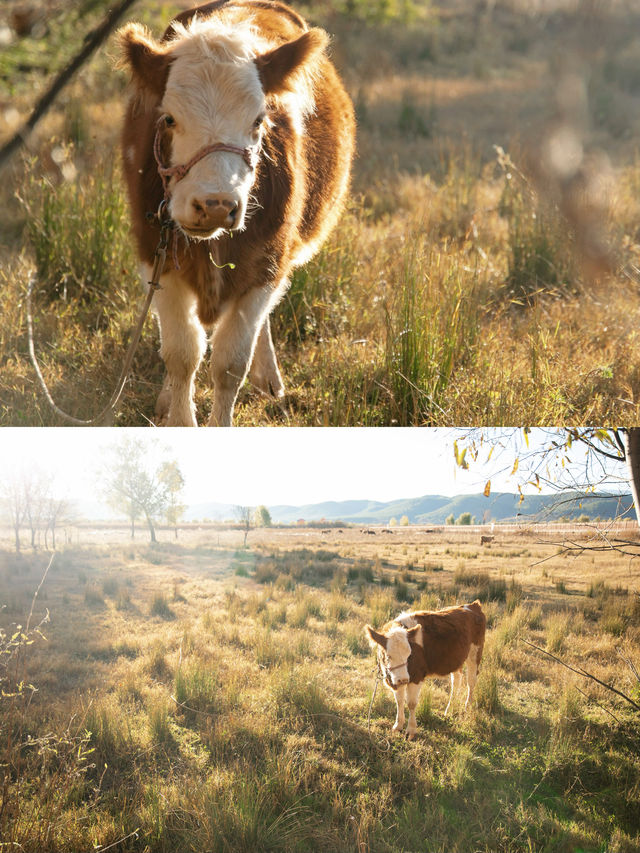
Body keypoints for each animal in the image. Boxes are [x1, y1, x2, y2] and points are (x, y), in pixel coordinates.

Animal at [119, 0, 356, 426]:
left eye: (259, 120)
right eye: (168, 118)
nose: (216, 205)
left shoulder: (266, 265)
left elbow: (230, 363)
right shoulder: (155, 257)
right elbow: (182, 353)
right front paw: (177, 413)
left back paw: (269, 377)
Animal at [364, 604, 484, 736]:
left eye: (409, 654)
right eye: (388, 655)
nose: (404, 679)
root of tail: (473, 605)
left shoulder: (416, 677)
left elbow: (411, 703)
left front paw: (410, 730)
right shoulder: (395, 680)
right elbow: (399, 701)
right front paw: (398, 726)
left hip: (475, 654)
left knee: (471, 682)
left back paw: (467, 707)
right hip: (456, 660)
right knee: (456, 681)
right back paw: (450, 709)